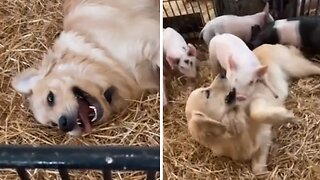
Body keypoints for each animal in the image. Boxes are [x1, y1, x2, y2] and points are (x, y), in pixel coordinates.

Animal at [184, 44, 320, 174]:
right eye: (207, 93)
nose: (222, 74)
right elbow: (257, 170)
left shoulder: (258, 99)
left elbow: (257, 113)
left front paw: (286, 116)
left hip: (298, 68)